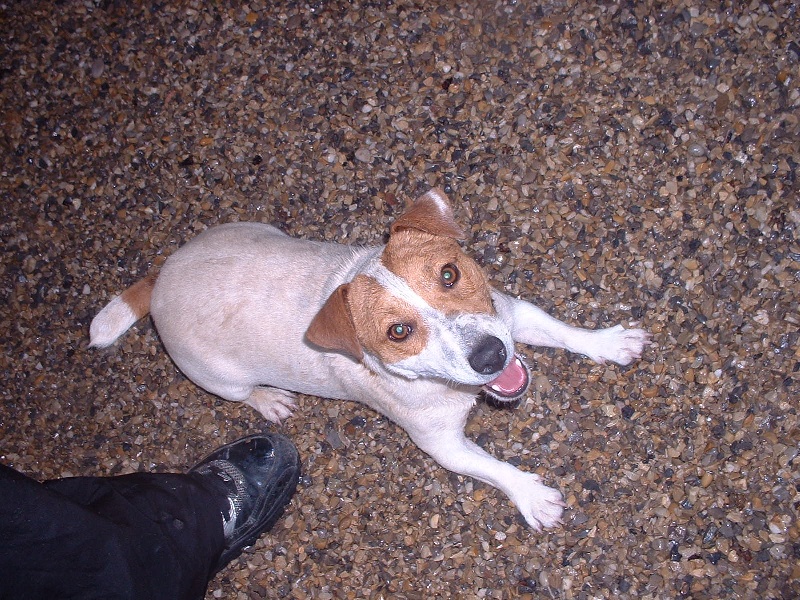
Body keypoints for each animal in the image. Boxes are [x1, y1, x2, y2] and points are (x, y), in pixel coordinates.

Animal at [90, 188, 650, 530]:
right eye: (398, 332)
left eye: (450, 274)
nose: (492, 355)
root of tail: (161, 279)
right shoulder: (442, 446)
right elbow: (493, 469)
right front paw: (533, 497)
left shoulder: (509, 314)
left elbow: (563, 331)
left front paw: (609, 343)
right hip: (216, 378)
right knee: (244, 394)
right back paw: (271, 400)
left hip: (255, 228)